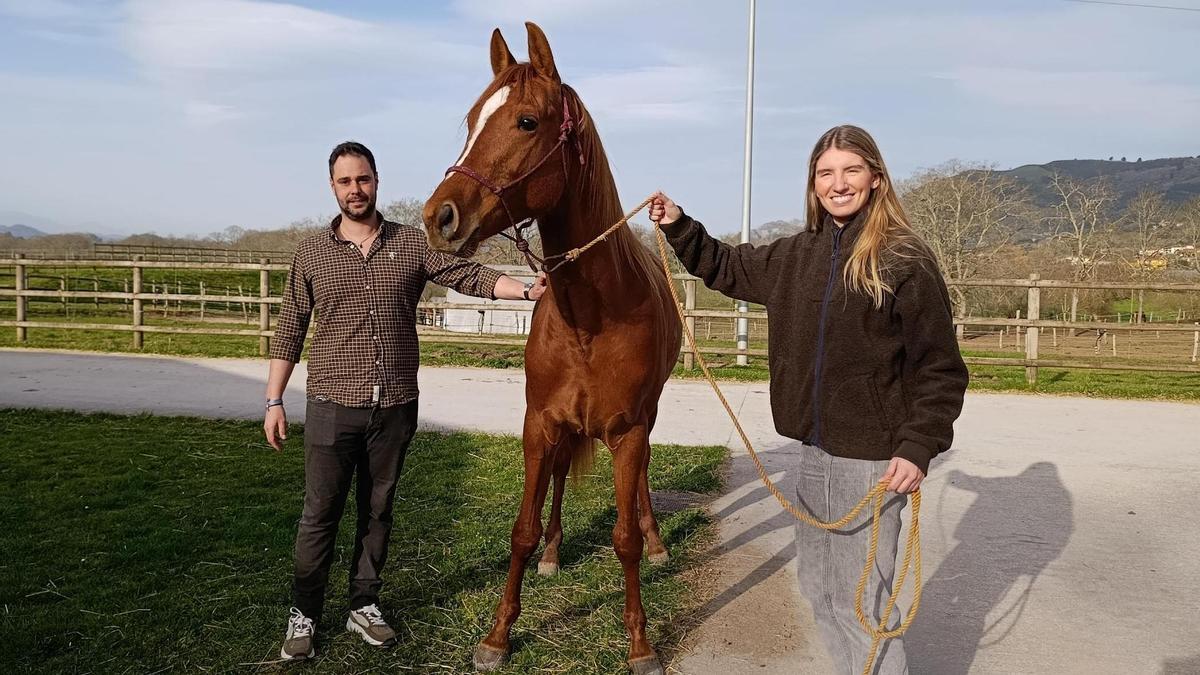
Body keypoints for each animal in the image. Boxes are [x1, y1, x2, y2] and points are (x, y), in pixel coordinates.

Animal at [421, 21, 682, 675]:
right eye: (471, 120)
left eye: (527, 121)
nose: (439, 218)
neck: (590, 318)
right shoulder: (539, 423)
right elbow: (522, 528)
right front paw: (498, 634)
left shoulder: (627, 430)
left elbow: (624, 539)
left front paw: (640, 643)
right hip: (565, 429)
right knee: (563, 479)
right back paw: (554, 552)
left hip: (645, 419)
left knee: (641, 489)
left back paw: (658, 541)